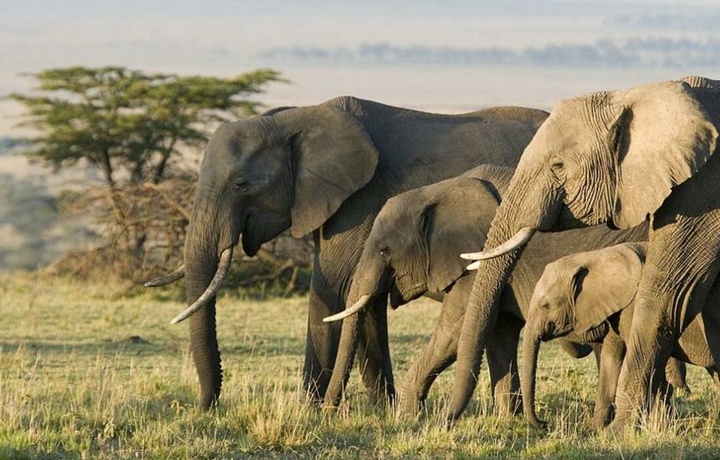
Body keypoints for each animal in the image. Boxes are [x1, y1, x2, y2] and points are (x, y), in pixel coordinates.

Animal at [148, 97, 552, 410]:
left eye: (241, 184)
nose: (206, 406)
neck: (295, 119)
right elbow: (363, 300)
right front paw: (382, 409)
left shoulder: (359, 201)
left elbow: (333, 289)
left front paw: (309, 411)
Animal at [320, 164, 648, 416]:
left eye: (385, 251)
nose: (328, 412)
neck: (438, 191)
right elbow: (499, 334)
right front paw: (508, 420)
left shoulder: (476, 262)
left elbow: (455, 333)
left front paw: (407, 418)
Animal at [524, 243, 720, 430]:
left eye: (545, 305)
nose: (544, 423)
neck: (596, 256)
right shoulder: (616, 307)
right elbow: (611, 358)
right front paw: (595, 430)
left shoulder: (634, 305)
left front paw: (658, 427)